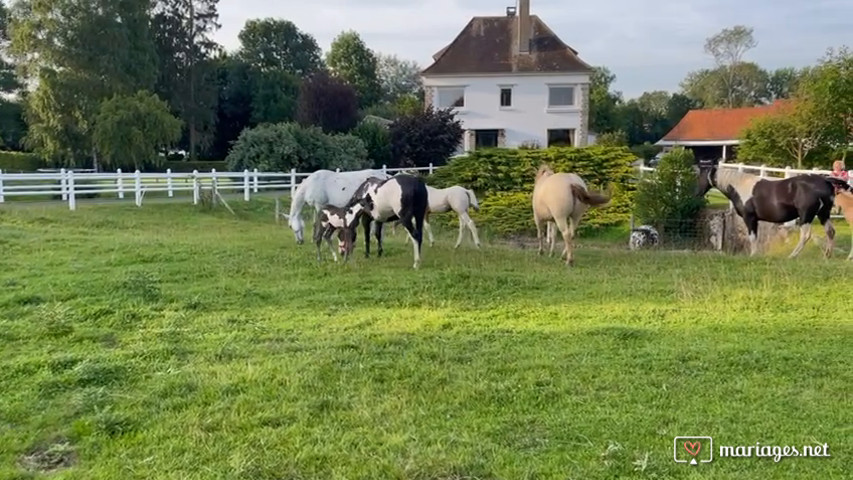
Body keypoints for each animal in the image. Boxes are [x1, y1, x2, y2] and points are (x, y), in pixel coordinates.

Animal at [696, 163, 848, 256]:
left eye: (701, 177)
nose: (696, 193)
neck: (740, 187)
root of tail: (825, 181)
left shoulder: (749, 218)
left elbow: (752, 238)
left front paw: (753, 255)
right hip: (823, 214)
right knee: (830, 231)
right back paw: (827, 255)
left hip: (806, 216)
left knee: (805, 236)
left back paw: (792, 256)